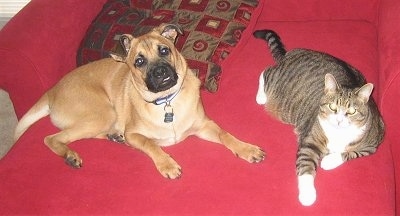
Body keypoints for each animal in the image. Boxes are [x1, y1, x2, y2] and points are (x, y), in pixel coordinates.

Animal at [14, 24, 266, 179]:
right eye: (139, 61)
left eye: (164, 50)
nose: (160, 73)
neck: (166, 102)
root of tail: (51, 91)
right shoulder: (135, 133)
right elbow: (150, 144)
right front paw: (167, 164)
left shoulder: (204, 125)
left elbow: (226, 134)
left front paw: (247, 149)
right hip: (102, 113)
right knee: (51, 138)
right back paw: (70, 156)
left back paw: (114, 138)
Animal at [253, 30, 384, 206]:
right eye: (332, 107)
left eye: (351, 111)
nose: (339, 120)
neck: (339, 134)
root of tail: (289, 55)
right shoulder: (310, 142)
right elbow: (306, 167)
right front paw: (308, 195)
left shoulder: (373, 144)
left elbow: (351, 153)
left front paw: (329, 161)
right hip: (282, 98)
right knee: (266, 72)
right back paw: (261, 96)